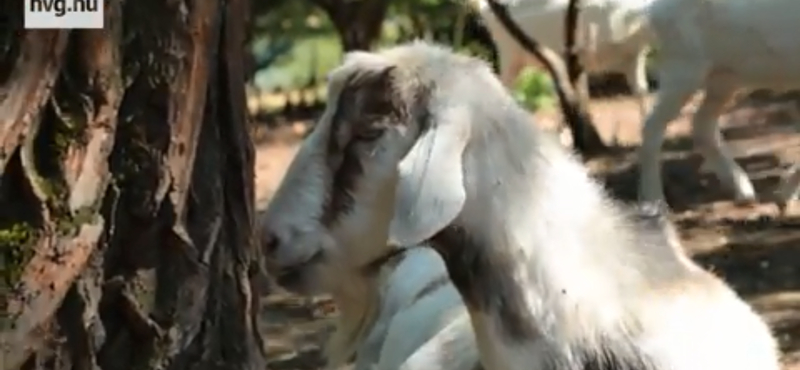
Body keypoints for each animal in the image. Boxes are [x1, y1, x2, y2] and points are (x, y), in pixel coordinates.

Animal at [640, 0, 800, 207]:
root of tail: (653, 10)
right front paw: (784, 194)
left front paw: (784, 194)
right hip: (683, 69)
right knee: (652, 126)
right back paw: (655, 202)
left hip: (725, 78)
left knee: (702, 124)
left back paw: (743, 190)